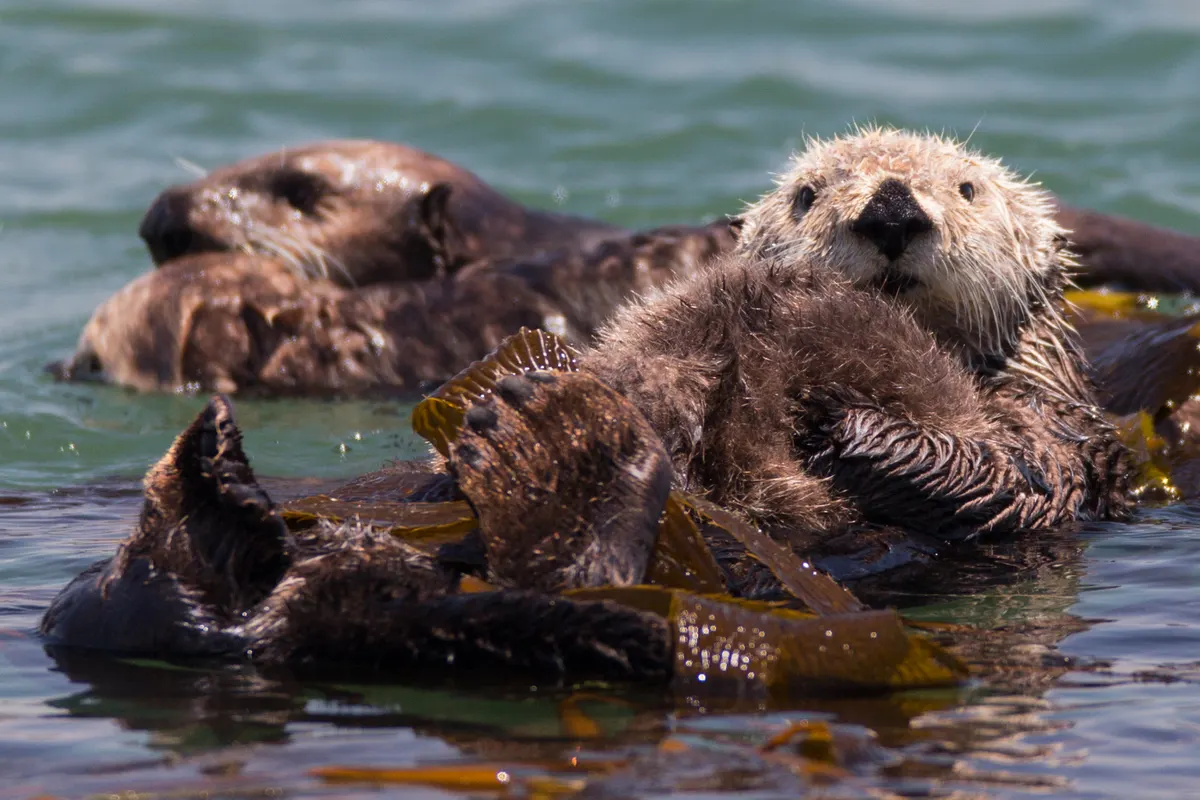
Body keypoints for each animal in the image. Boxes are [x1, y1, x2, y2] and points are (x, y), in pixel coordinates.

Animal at [580, 127, 1130, 542]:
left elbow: (1019, 474)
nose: (892, 212)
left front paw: (831, 418)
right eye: (807, 195)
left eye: (968, 189)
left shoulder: (1050, 425)